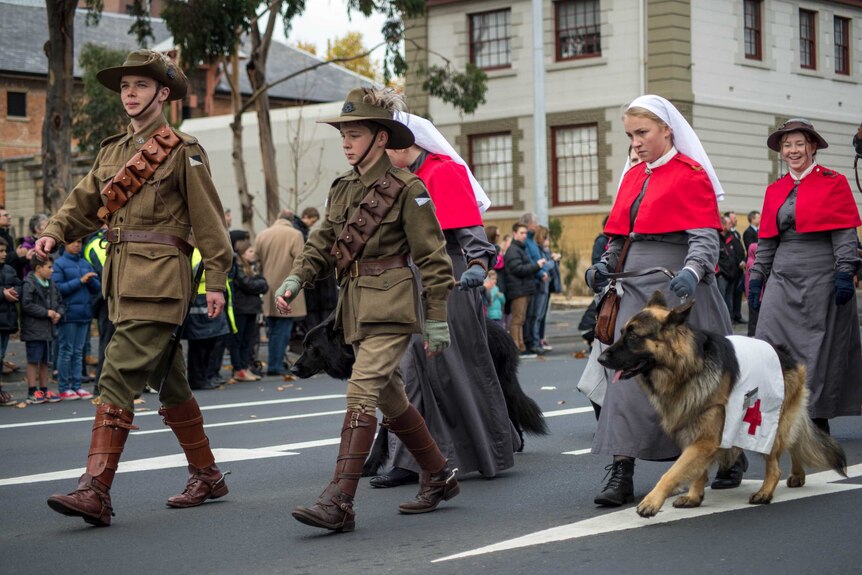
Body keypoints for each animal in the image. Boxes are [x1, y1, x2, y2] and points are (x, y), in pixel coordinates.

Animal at [290, 312, 548, 474]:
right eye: (305, 345)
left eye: (311, 347)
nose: (292, 369)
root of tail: (505, 333)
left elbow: (384, 436)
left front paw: (370, 467)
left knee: (506, 408)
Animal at [600, 292, 852, 516]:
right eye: (621, 332)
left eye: (633, 336)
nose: (601, 359)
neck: (688, 367)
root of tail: (787, 356)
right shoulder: (695, 433)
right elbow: (697, 471)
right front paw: (694, 496)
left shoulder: (705, 438)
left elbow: (672, 472)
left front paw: (652, 502)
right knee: (795, 440)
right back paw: (798, 474)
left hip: (768, 424)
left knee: (775, 464)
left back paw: (765, 492)